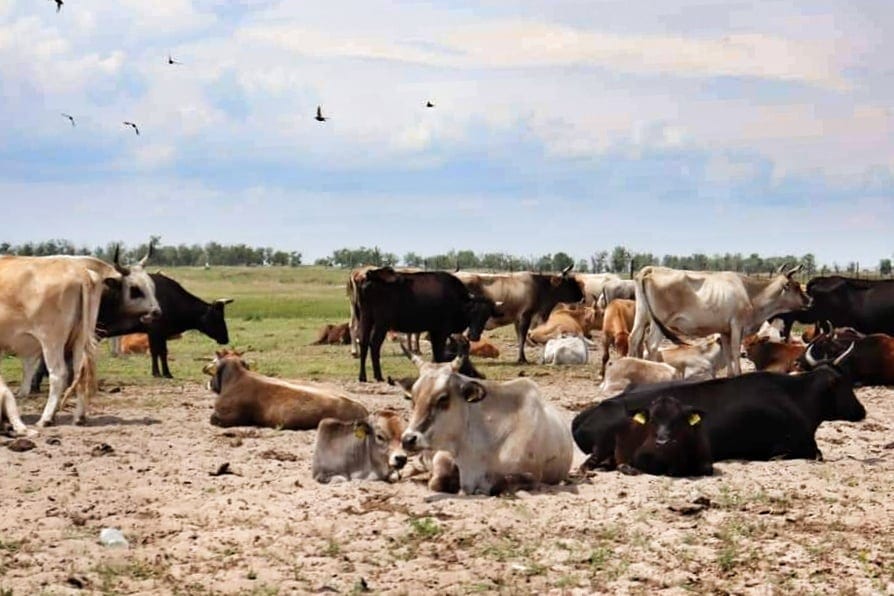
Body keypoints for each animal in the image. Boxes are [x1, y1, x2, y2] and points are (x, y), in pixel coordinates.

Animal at [0, 248, 161, 433]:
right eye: (136, 289)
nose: (157, 312)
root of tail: (80, 272)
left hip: (51, 341)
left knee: (59, 375)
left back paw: (46, 418)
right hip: (80, 339)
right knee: (79, 372)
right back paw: (78, 417)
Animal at [355, 267, 498, 382]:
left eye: (486, 315)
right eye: (473, 312)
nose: (474, 336)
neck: (457, 300)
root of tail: (371, 275)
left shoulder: (434, 331)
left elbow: (436, 355)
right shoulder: (441, 332)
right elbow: (439, 355)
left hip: (365, 318)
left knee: (363, 342)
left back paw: (362, 376)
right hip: (381, 323)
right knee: (374, 344)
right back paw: (378, 376)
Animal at [398, 349, 573, 495]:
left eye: (443, 398)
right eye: (412, 398)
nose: (408, 439)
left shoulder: (532, 475)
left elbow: (496, 484)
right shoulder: (445, 456)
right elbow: (437, 482)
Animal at [629, 265, 809, 375]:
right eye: (796, 286)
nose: (809, 300)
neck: (749, 293)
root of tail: (652, 269)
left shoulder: (724, 329)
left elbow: (728, 352)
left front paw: (730, 375)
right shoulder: (737, 325)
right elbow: (736, 351)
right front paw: (738, 373)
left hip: (642, 315)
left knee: (635, 339)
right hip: (660, 321)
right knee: (651, 344)